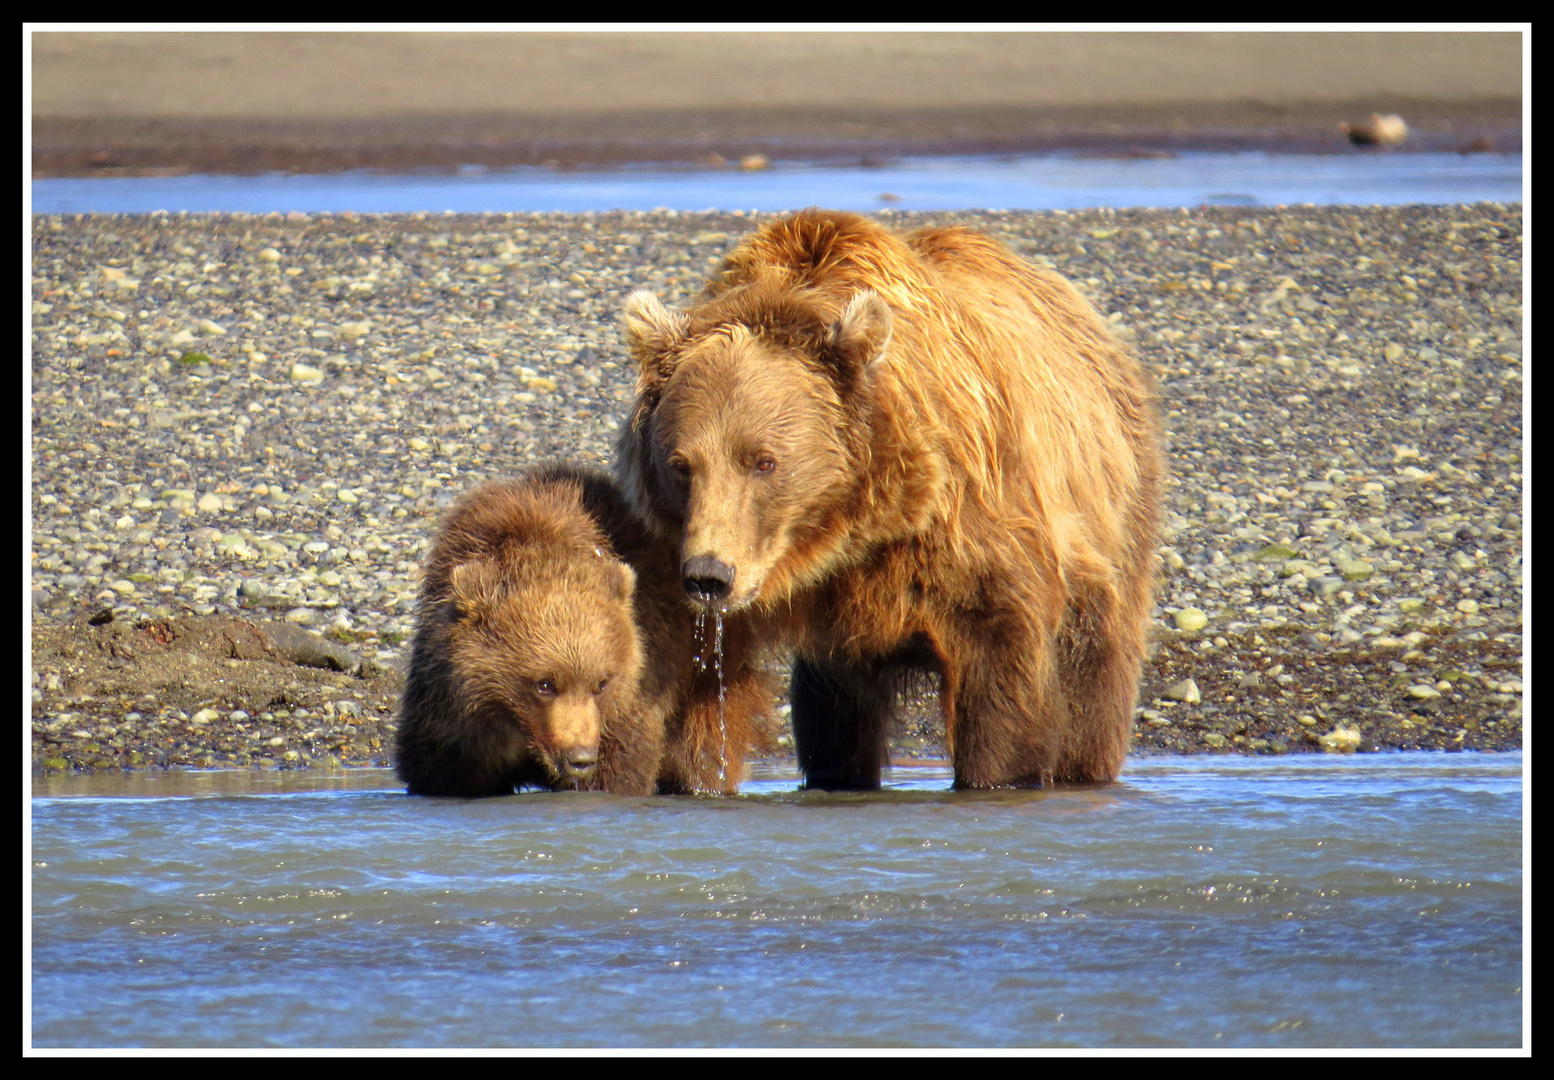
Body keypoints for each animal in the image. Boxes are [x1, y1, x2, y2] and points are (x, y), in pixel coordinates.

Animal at [612, 211, 1162, 789]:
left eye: (763, 461)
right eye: (681, 465)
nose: (710, 575)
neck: (844, 532)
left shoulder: (968, 524)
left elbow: (1001, 666)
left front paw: (998, 774)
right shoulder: (709, 560)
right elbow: (700, 690)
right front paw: (692, 775)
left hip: (1110, 505)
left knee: (1094, 664)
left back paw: (1087, 764)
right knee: (833, 709)